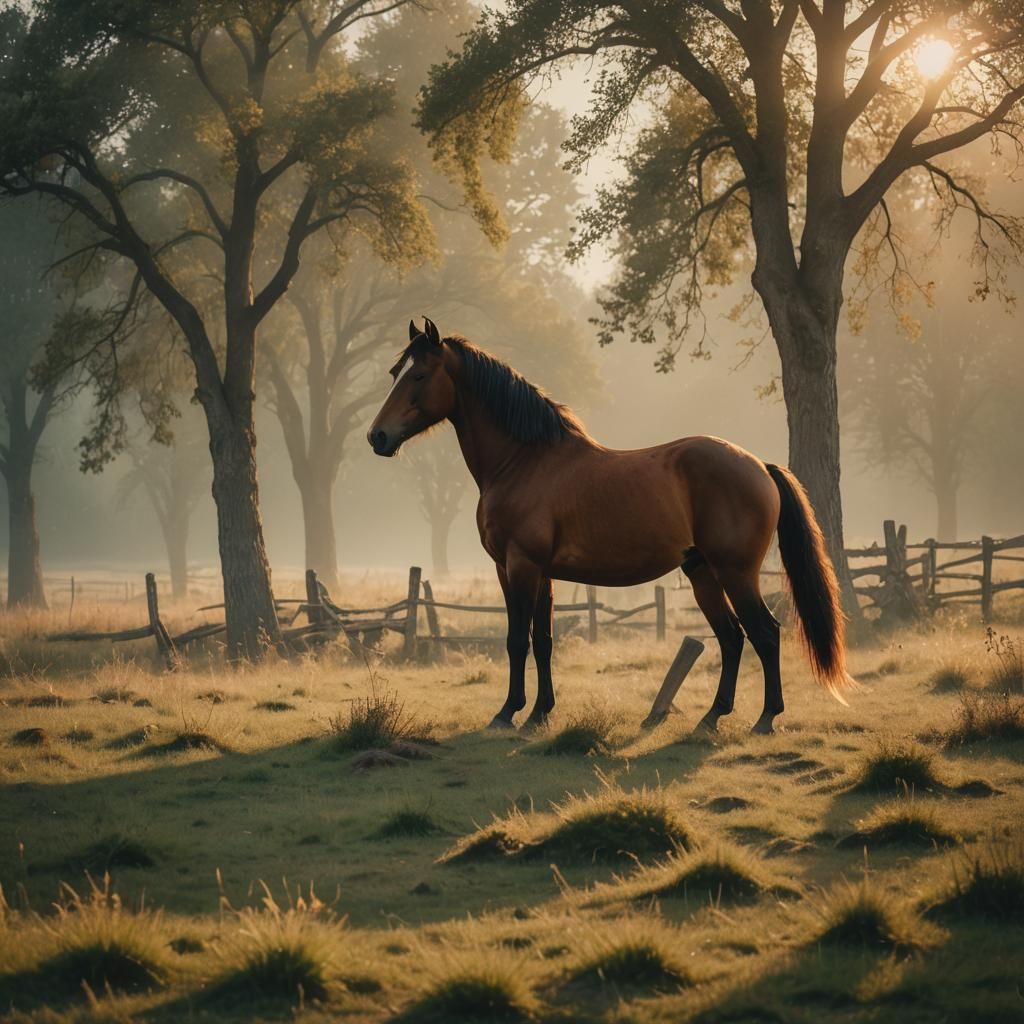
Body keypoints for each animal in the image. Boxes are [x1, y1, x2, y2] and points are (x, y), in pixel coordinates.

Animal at [368, 318, 851, 734]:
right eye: (395, 371)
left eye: (418, 375)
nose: (377, 437)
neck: (524, 461)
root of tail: (758, 465)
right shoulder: (535, 572)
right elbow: (543, 639)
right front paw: (540, 713)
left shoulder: (519, 566)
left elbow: (517, 640)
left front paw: (507, 713)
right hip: (702, 573)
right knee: (731, 638)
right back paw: (711, 718)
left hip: (735, 572)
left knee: (764, 634)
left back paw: (766, 718)